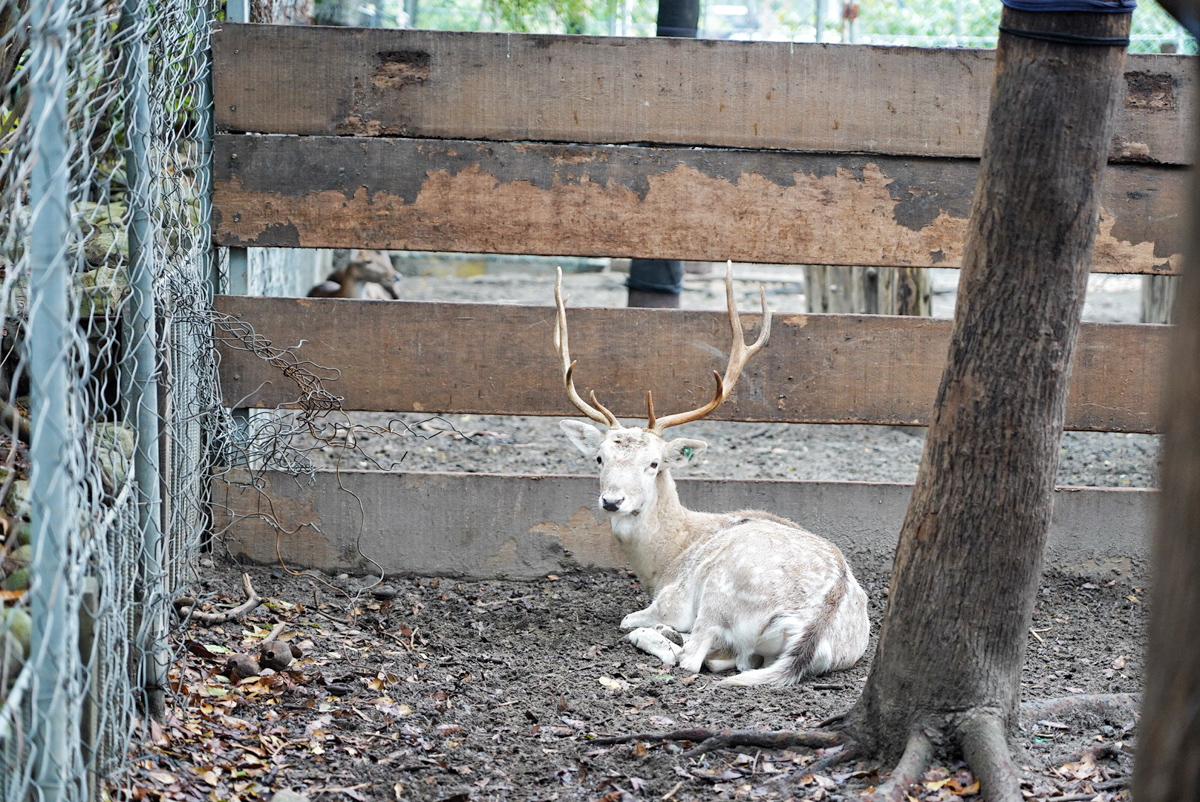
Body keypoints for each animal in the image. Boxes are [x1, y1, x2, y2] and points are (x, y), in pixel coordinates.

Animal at [552, 266, 873, 686]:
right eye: (599, 458)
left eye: (654, 463)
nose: (612, 500)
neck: (666, 559)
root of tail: (815, 626)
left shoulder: (671, 598)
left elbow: (633, 621)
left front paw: (655, 628)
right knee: (734, 660)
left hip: (721, 592)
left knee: (691, 657)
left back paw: (665, 636)